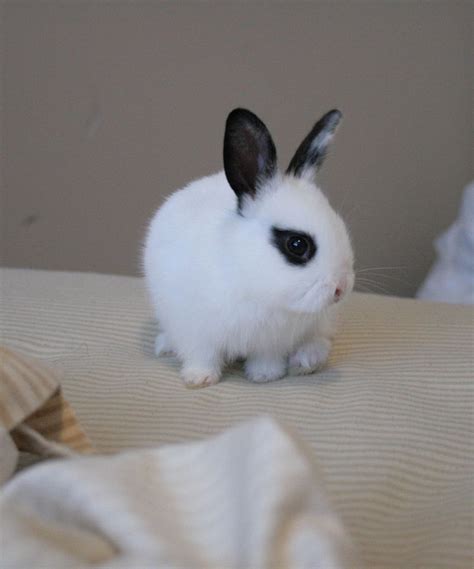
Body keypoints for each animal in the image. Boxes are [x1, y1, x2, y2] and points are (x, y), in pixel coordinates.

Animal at [143, 107, 354, 386]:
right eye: (297, 245)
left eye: (341, 226)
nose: (341, 288)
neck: (255, 285)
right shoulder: (196, 331)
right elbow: (202, 355)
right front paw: (200, 378)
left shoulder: (272, 343)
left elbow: (266, 358)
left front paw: (264, 376)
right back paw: (164, 346)